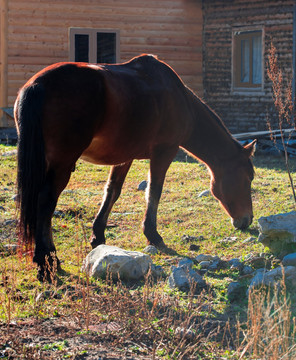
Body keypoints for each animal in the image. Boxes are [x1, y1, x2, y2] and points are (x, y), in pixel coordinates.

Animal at [14, 54, 254, 282]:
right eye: (248, 177)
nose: (247, 220)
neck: (180, 99)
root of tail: (38, 85)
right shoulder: (164, 152)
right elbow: (154, 191)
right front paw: (153, 235)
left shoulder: (124, 157)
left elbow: (112, 191)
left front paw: (98, 236)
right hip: (62, 163)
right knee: (46, 202)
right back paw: (47, 261)